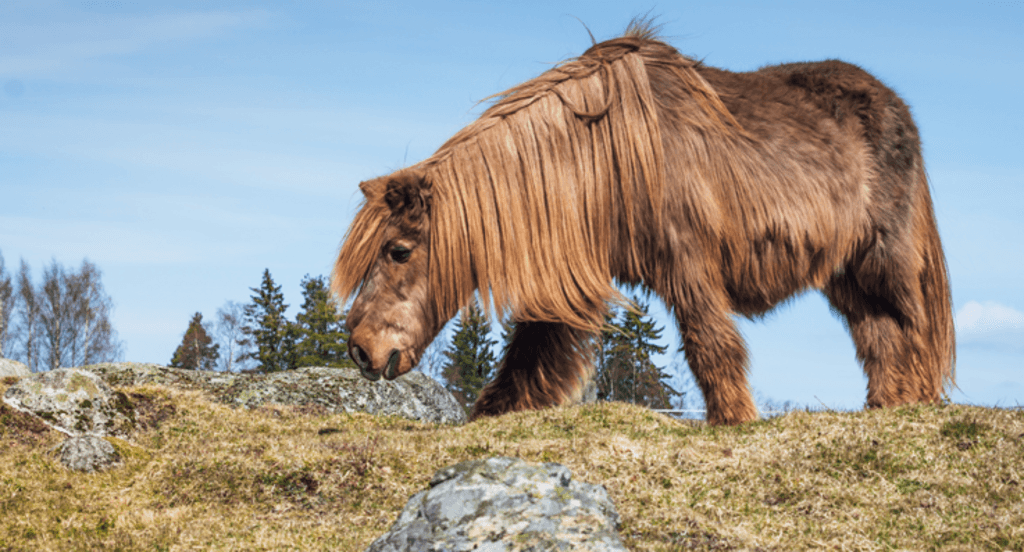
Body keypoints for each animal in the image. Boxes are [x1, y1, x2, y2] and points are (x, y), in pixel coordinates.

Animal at [331, 22, 955, 425]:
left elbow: (710, 345)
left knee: (910, 328)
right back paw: (886, 406)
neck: (601, 160)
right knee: (878, 334)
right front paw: (490, 415)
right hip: (845, 274)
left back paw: (915, 405)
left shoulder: (687, 260)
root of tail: (895, 106)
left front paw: (735, 421)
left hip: (884, 259)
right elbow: (530, 354)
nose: (361, 351)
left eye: (399, 250)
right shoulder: (572, 274)